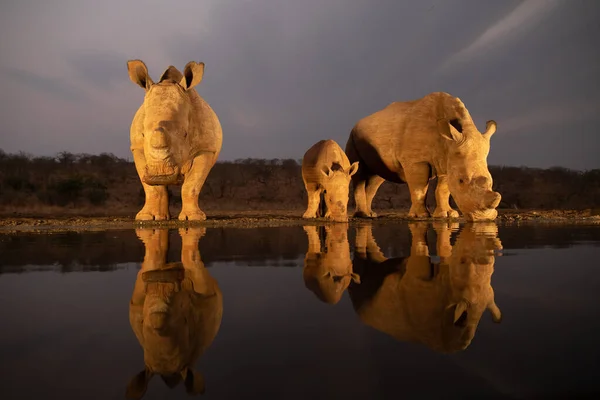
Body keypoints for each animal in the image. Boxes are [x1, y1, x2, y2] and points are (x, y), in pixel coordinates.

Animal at [126, 59, 223, 222]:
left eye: (185, 134)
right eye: (143, 134)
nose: (160, 175)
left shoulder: (206, 148)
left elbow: (191, 185)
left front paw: (194, 218)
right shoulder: (137, 148)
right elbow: (152, 189)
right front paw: (147, 217)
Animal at [344, 91, 500, 222]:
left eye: (491, 180)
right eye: (461, 181)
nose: (483, 219)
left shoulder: (448, 158)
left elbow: (443, 189)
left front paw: (447, 214)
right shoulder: (416, 161)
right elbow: (419, 188)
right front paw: (421, 216)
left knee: (376, 178)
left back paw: (371, 214)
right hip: (352, 136)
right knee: (359, 174)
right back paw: (363, 215)